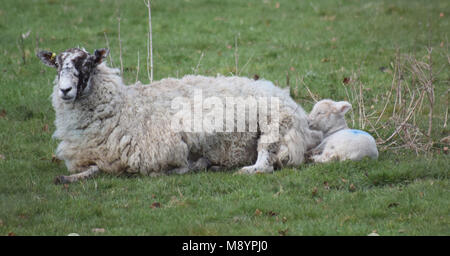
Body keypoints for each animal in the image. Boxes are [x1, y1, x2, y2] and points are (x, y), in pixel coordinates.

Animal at [37, 47, 322, 184]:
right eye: (57, 65)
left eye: (86, 64)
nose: (65, 90)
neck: (123, 107)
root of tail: (288, 99)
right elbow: (91, 168)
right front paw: (67, 177)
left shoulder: (155, 153)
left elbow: (101, 169)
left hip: (274, 126)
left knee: (265, 164)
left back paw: (242, 169)